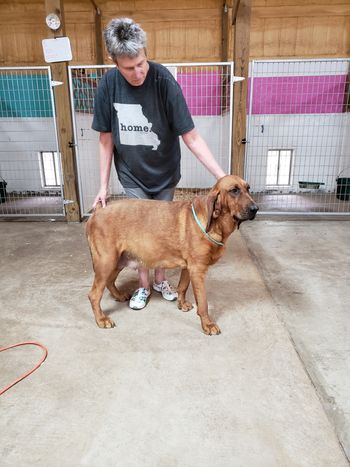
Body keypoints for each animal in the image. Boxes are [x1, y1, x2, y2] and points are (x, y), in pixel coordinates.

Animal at [86, 174, 258, 334]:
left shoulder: (188, 268)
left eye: (248, 188)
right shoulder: (198, 270)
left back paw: (119, 295)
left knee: (109, 282)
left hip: (117, 261)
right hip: (107, 261)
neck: (214, 223)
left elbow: (182, 287)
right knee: (94, 294)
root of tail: (97, 212)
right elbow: (203, 302)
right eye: (234, 190)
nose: (255, 209)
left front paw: (182, 304)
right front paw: (207, 324)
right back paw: (101, 319)